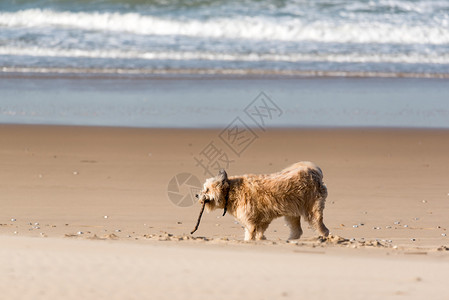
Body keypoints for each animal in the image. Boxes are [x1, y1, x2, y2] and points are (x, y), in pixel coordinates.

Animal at [196, 162, 328, 241]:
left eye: (207, 189)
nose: (197, 195)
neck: (231, 191)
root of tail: (314, 172)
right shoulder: (262, 220)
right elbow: (259, 233)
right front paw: (261, 239)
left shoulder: (251, 222)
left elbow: (250, 234)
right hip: (292, 213)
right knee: (298, 231)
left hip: (312, 210)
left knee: (320, 226)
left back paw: (324, 237)